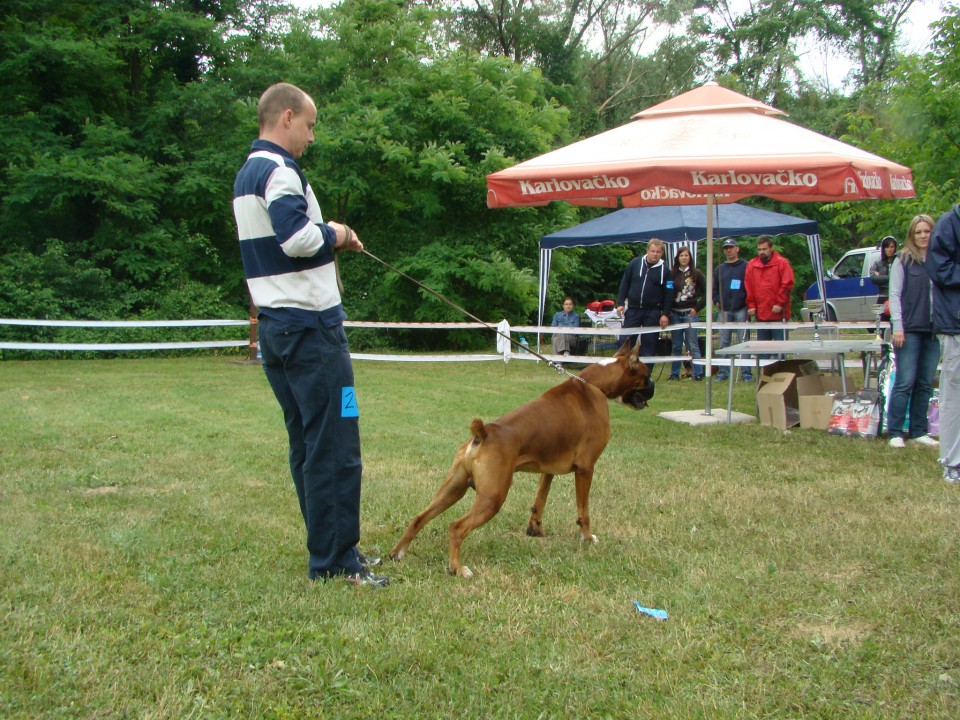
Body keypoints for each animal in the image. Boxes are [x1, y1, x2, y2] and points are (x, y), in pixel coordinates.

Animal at [388, 342, 652, 580]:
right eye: (646, 376)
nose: (654, 386)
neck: (594, 385)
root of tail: (483, 433)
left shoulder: (548, 468)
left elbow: (540, 499)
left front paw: (535, 529)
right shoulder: (586, 468)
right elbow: (583, 510)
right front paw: (587, 537)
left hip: (453, 489)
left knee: (419, 517)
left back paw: (397, 553)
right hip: (492, 497)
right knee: (457, 527)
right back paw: (457, 568)